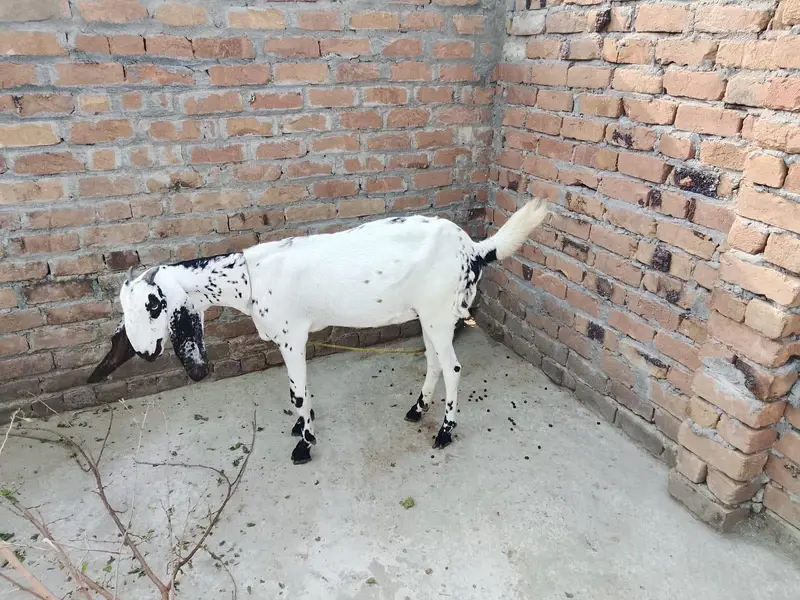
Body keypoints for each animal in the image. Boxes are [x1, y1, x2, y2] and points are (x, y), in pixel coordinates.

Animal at [87, 198, 550, 464]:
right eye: (124, 312)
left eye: (153, 305)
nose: (145, 352)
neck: (248, 278)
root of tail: (474, 249)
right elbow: (302, 390)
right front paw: (301, 427)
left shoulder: (292, 336)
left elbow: (296, 390)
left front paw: (304, 444)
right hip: (430, 315)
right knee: (435, 362)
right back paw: (418, 409)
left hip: (438, 312)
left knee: (453, 369)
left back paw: (445, 432)